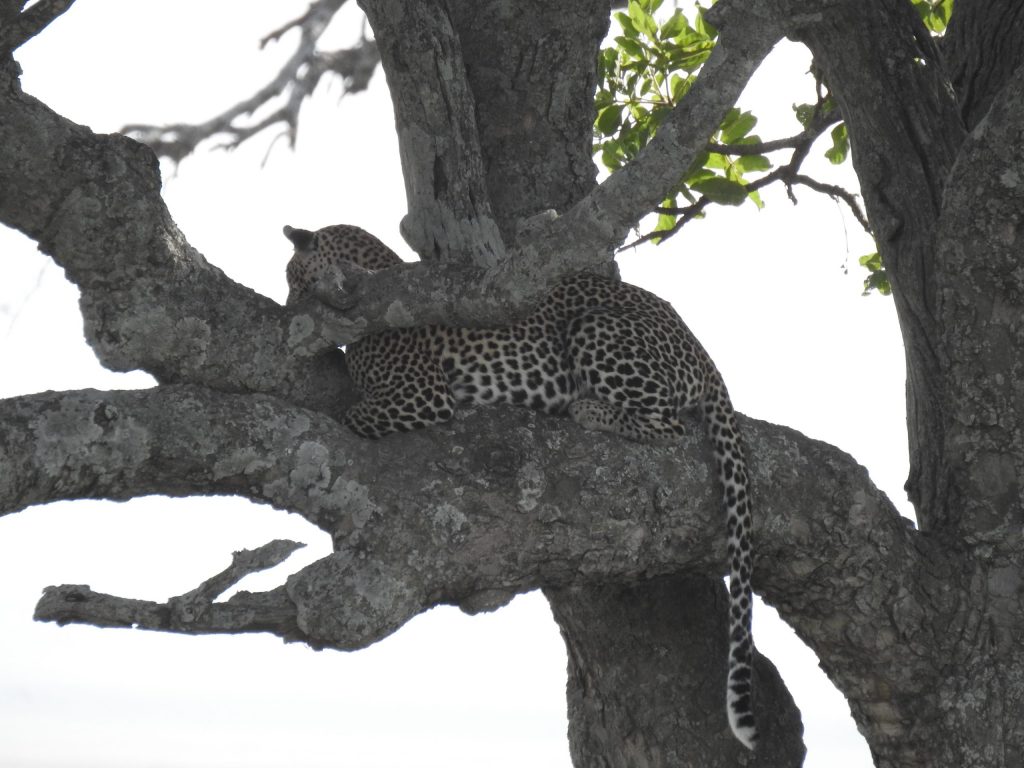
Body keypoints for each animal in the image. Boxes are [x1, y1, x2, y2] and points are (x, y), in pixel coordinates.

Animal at [284, 223, 758, 750]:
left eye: (289, 275)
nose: (285, 309)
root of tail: (702, 351)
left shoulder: (419, 395)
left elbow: (346, 417)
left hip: (597, 329)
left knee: (668, 425)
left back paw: (588, 409)